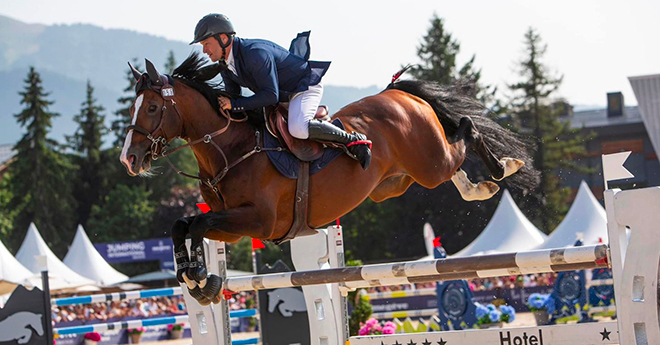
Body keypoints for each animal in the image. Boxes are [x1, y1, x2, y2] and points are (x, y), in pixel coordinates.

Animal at [121, 52, 540, 306]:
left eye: (154, 107)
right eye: (133, 107)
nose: (129, 158)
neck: (230, 148)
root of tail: (399, 94)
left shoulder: (258, 220)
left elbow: (198, 224)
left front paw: (199, 278)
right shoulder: (235, 228)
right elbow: (182, 224)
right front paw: (191, 276)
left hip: (428, 161)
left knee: (466, 128)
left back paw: (503, 168)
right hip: (396, 182)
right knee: (452, 167)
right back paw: (477, 187)